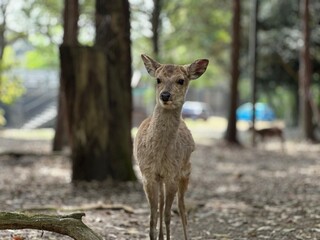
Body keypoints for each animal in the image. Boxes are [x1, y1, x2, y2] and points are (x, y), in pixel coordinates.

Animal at [134, 54, 209, 240]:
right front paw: (154, 235)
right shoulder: (147, 174)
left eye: (181, 80)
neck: (159, 154)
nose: (165, 95)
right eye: (158, 79)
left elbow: (169, 215)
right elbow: (153, 217)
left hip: (186, 170)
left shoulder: (172, 174)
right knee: (161, 204)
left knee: (182, 207)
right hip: (162, 178)